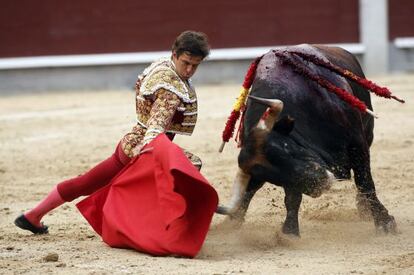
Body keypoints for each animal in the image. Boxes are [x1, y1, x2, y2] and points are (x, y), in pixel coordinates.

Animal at [218, 44, 396, 236]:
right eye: (273, 177)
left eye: (285, 147)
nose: (318, 184)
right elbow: (292, 197)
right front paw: (290, 232)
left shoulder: (357, 142)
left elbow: (365, 181)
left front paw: (384, 222)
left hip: (368, 130)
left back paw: (364, 208)